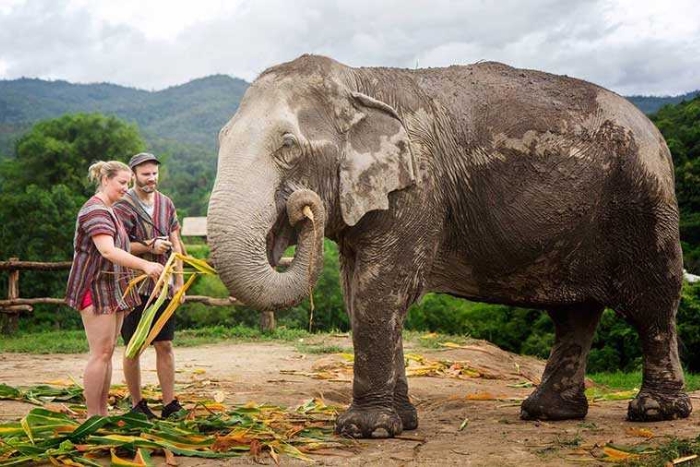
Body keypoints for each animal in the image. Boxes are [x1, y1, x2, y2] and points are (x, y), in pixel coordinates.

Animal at [207, 54, 691, 438]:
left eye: (288, 146)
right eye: (221, 138)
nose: (301, 208)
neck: (358, 80)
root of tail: (654, 130)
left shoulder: (419, 187)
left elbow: (380, 290)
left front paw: (365, 430)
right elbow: (355, 292)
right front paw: (402, 422)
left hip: (644, 199)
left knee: (652, 300)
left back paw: (655, 412)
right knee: (575, 314)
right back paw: (548, 413)